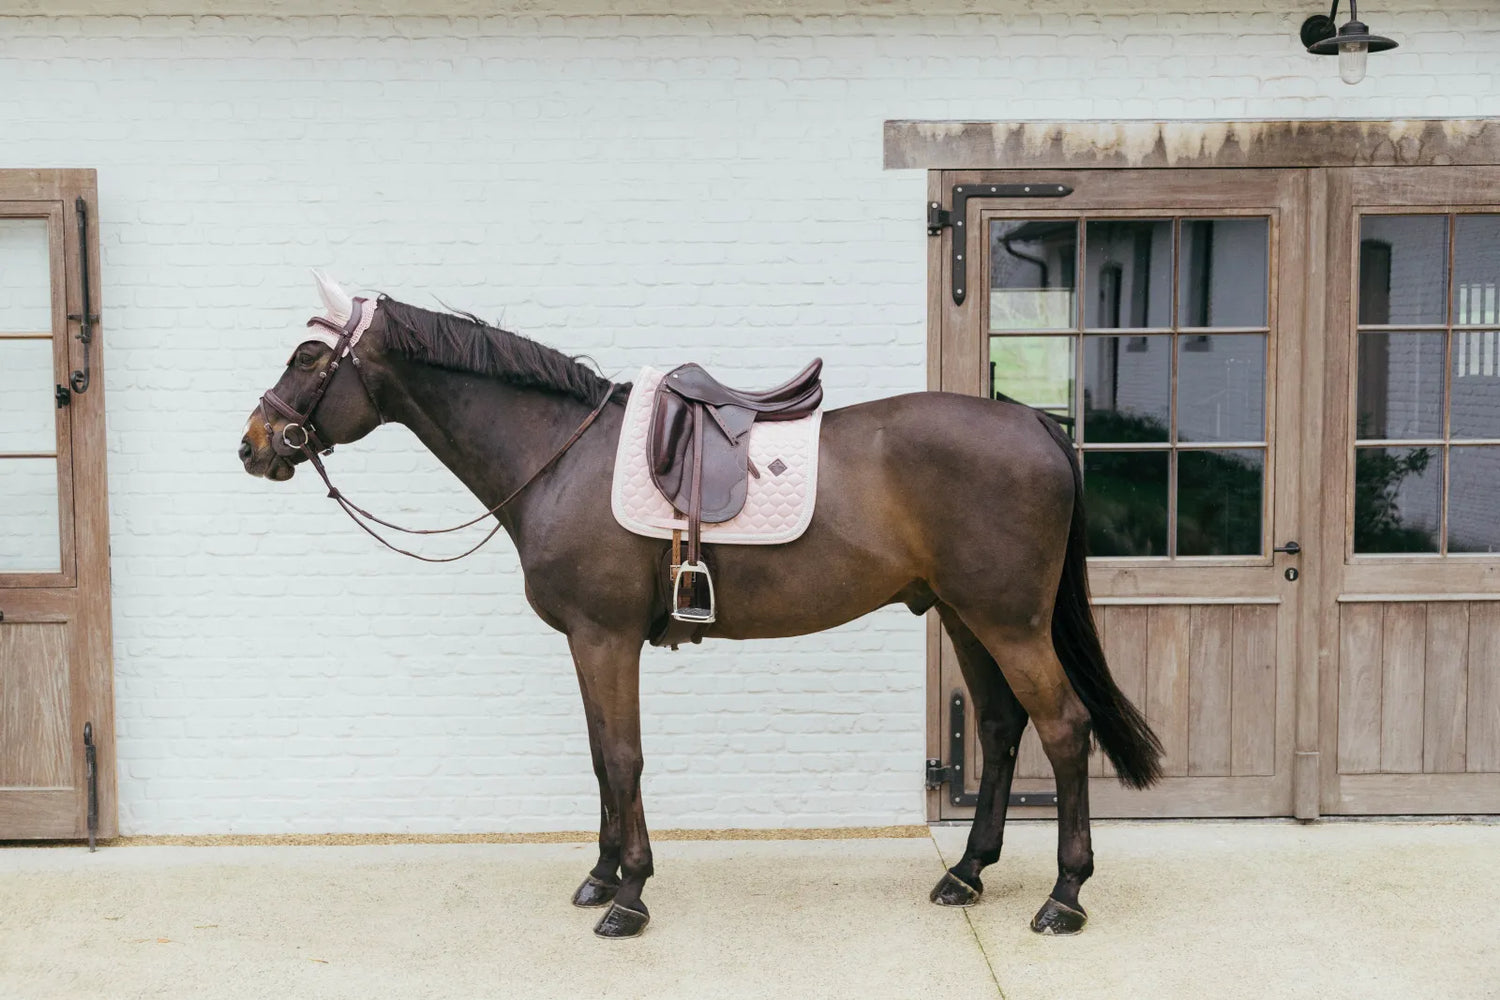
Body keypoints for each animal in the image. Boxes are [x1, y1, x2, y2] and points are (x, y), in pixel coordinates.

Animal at [240, 275, 1164, 941]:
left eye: (305, 356)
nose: (253, 444)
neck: (559, 458)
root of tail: (1035, 424)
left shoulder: (605, 638)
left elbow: (623, 759)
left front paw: (630, 896)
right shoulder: (588, 644)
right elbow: (600, 758)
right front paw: (601, 876)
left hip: (1009, 621)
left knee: (1065, 729)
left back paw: (1064, 896)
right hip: (965, 615)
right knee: (1005, 727)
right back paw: (966, 873)